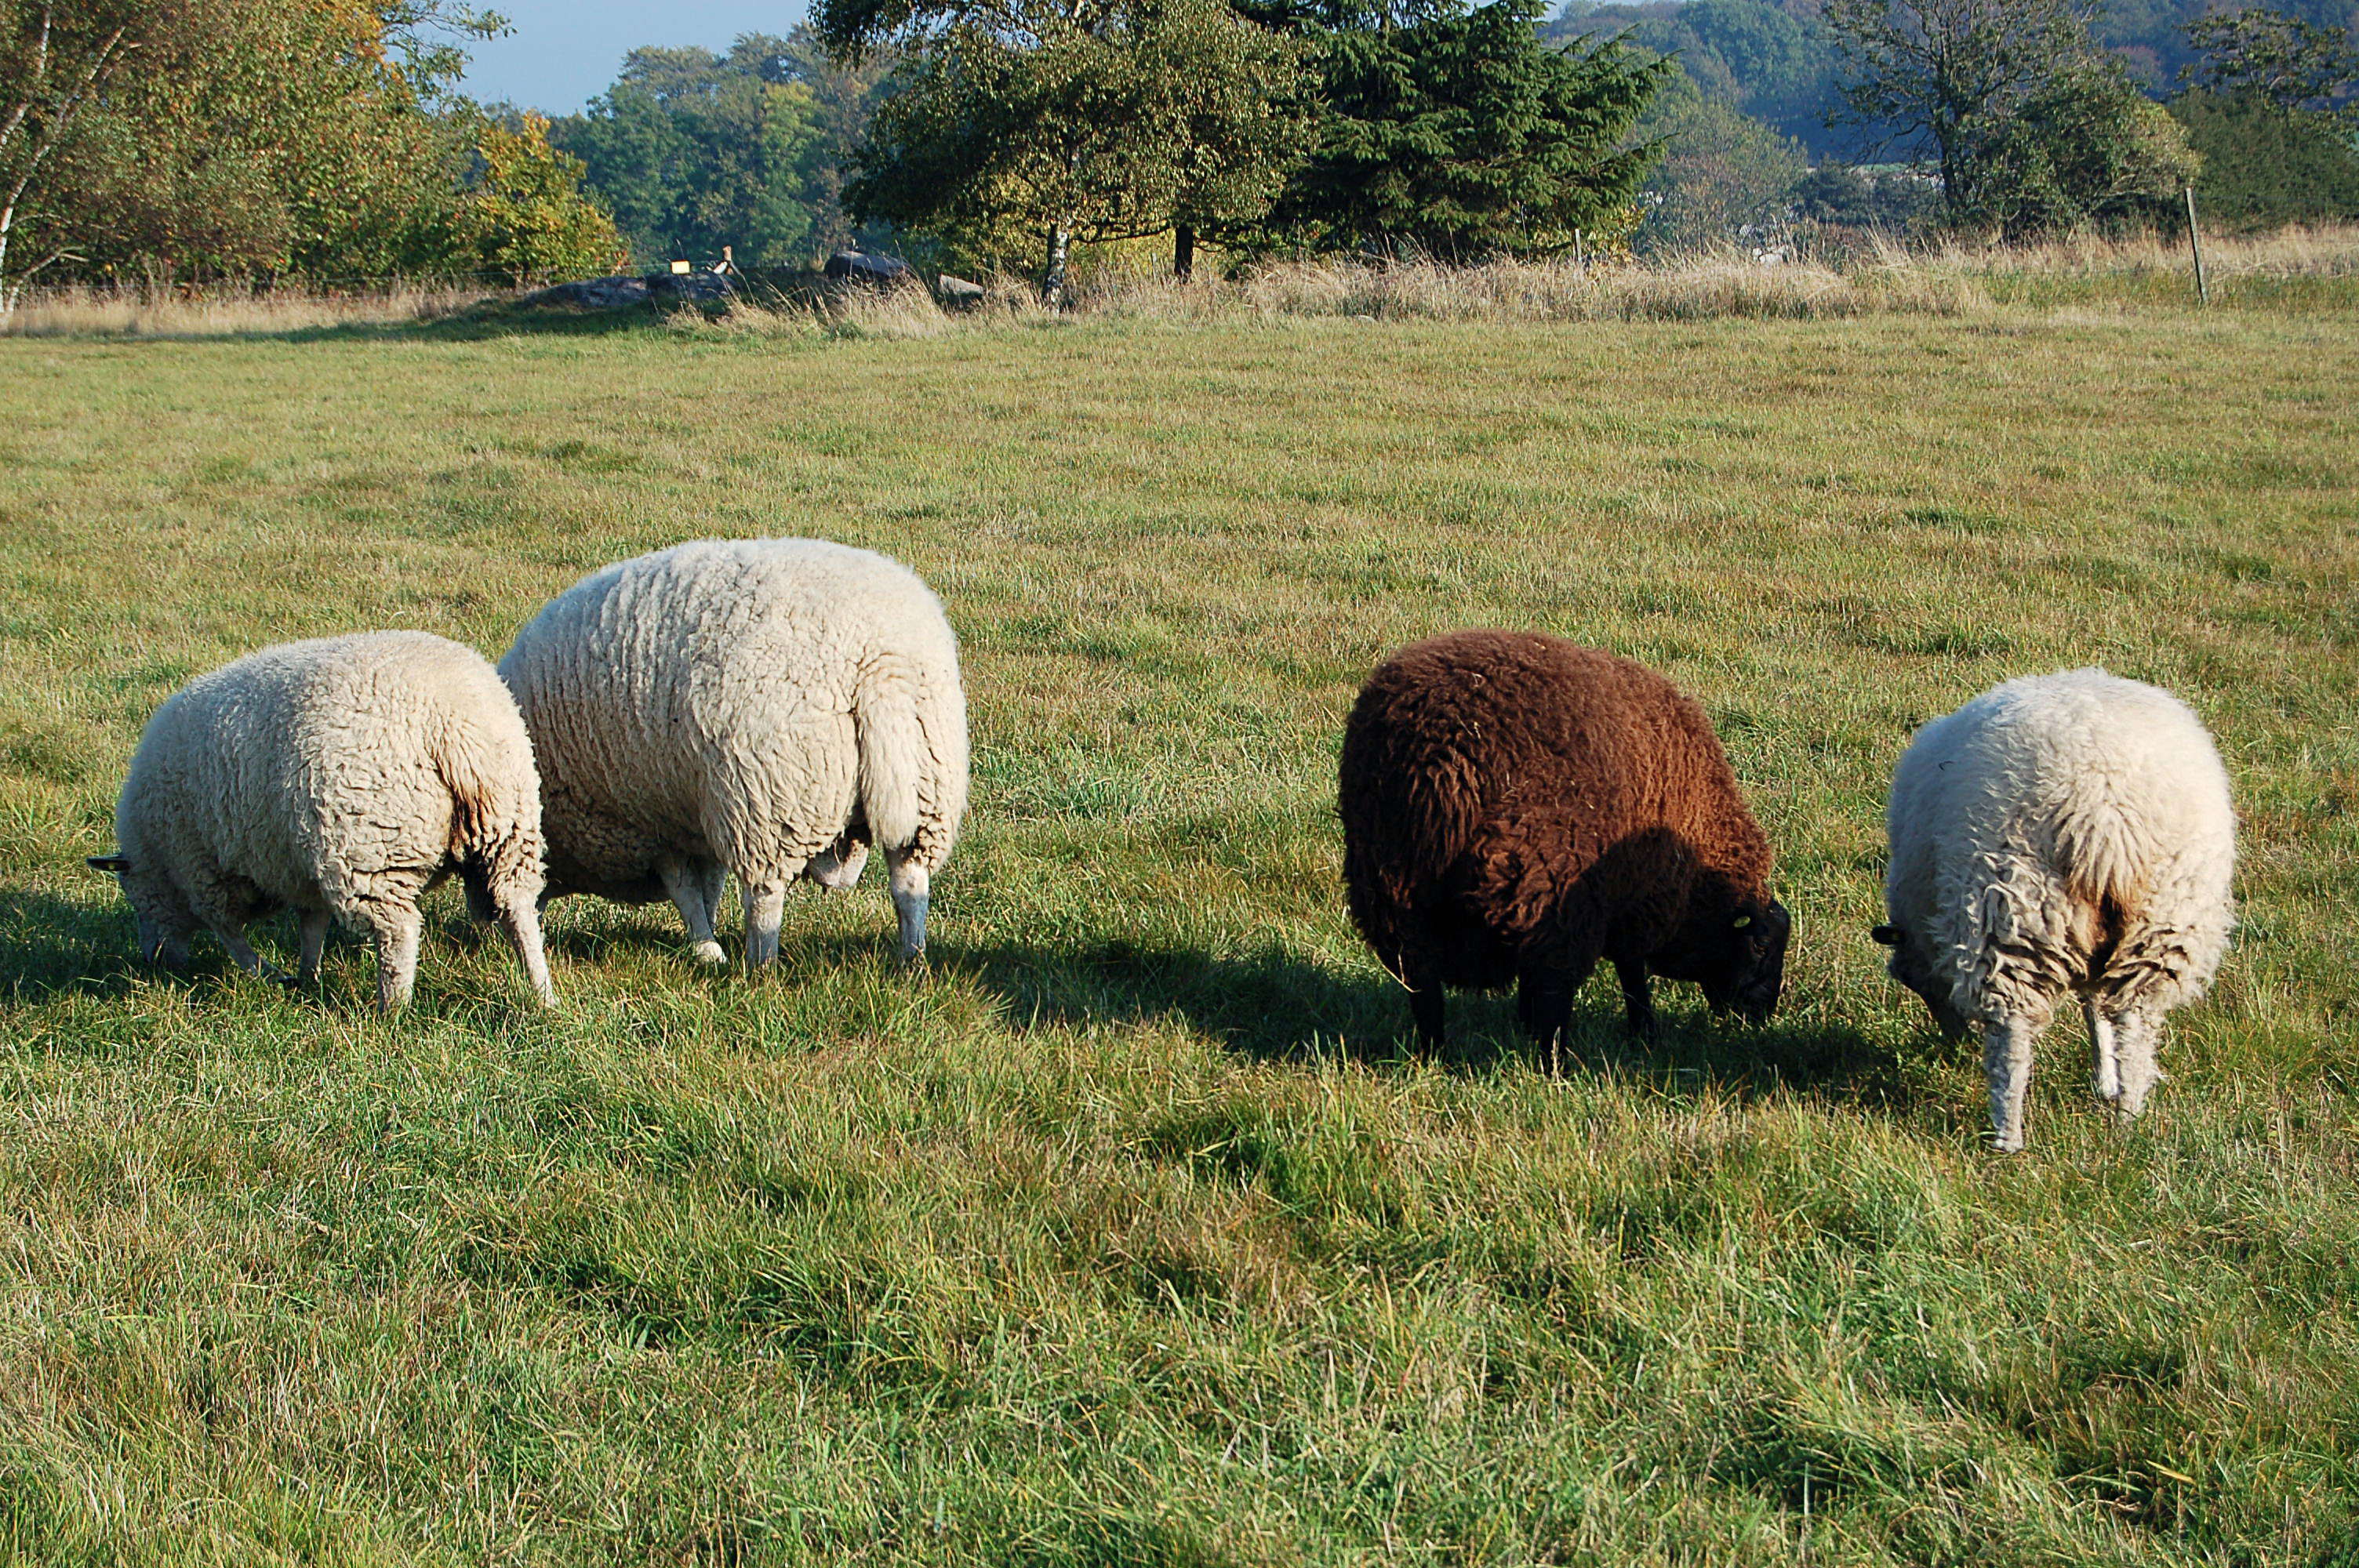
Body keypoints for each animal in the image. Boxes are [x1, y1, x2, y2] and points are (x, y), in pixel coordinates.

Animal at [82, 627, 561, 1009]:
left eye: (133, 899)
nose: (154, 962)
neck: (156, 857)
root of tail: (453, 723)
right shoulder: (300, 867)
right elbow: (310, 926)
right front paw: (306, 977)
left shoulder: (199, 869)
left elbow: (229, 933)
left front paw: (266, 973)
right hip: (508, 826)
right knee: (518, 909)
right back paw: (541, 992)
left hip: (370, 847)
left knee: (399, 931)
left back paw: (392, 1007)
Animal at [497, 535, 967, 967]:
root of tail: (881, 662)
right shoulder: (693, 815)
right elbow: (707, 886)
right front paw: (708, 941)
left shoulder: (657, 824)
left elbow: (687, 891)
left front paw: (707, 949)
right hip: (928, 786)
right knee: (909, 882)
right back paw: (911, 958)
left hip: (770, 797)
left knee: (764, 897)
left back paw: (759, 966)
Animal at [1349, 632, 1783, 1056]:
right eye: (1762, 946)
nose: (1762, 1016)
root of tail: (1440, 761)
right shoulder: (1637, 898)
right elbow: (1631, 972)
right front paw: (1644, 1033)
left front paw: (1523, 1023)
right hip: (1550, 885)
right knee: (1553, 987)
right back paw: (1555, 1062)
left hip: (1392, 884)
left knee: (1421, 983)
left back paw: (1435, 1056)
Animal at [1877, 665, 2226, 1150]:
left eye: (1912, 981)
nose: (1953, 1048)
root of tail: (2107, 811)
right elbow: (2094, 1008)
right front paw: (2105, 1078)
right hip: (2165, 918)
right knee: (2136, 1026)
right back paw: (2127, 1118)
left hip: (2015, 906)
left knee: (2012, 1037)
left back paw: (2007, 1137)